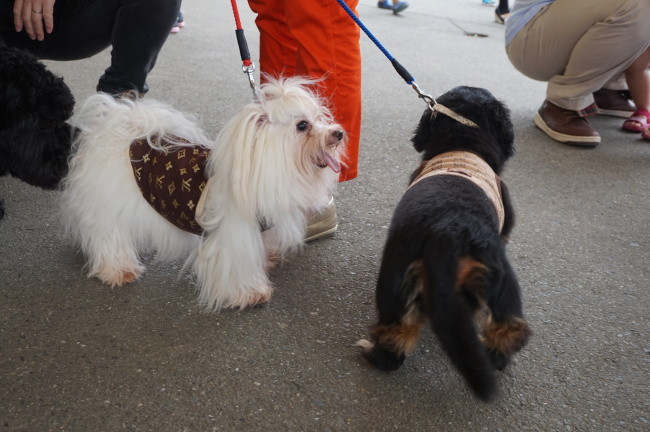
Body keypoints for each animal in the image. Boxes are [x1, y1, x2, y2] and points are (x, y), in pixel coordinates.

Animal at [60, 77, 344, 310]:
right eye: (302, 125)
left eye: (320, 118)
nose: (338, 132)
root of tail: (122, 129)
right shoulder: (233, 237)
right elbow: (237, 268)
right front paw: (250, 294)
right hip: (108, 205)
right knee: (108, 237)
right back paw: (118, 270)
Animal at [356, 85, 528, 402]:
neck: (464, 144)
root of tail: (447, 232)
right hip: (501, 283)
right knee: (506, 334)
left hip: (395, 282)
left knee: (395, 337)